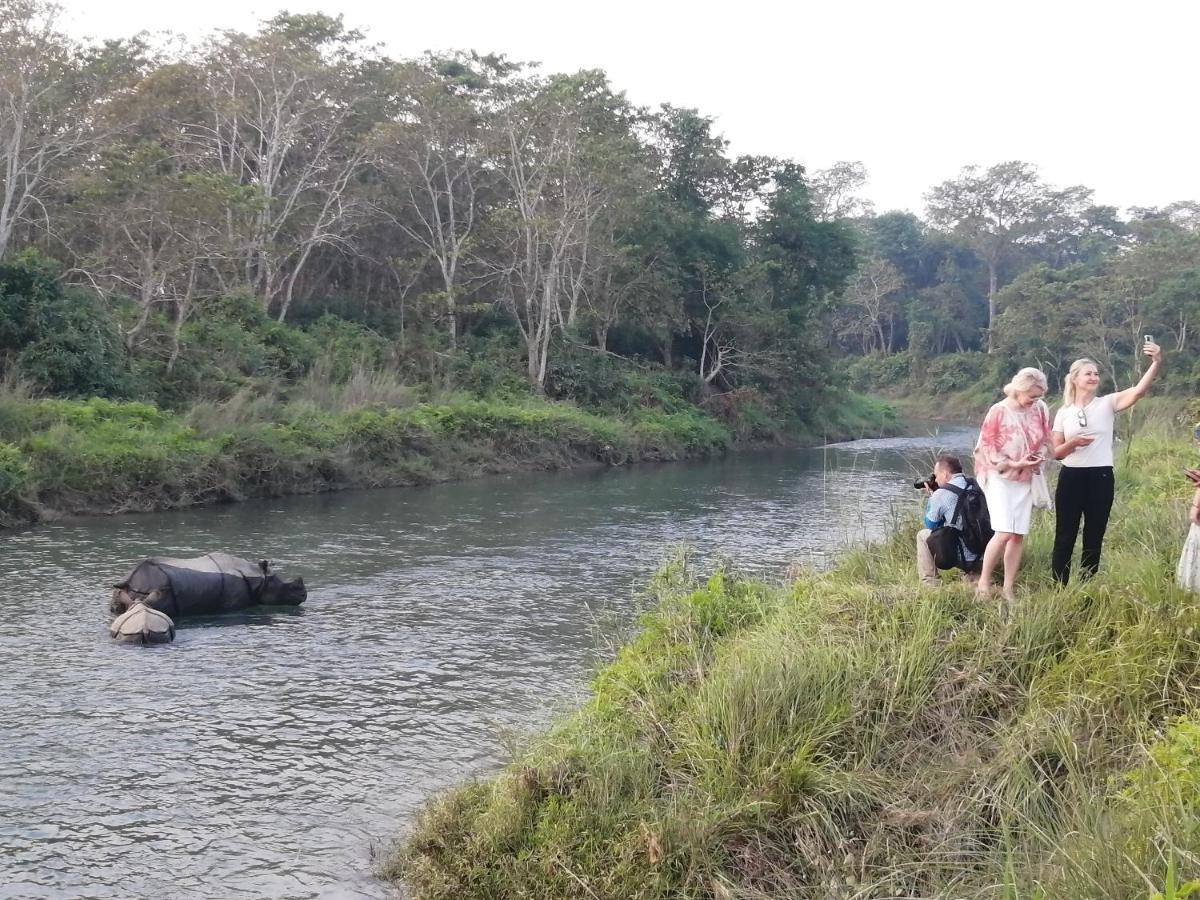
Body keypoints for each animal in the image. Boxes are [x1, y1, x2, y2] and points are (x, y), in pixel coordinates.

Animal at [112, 554, 307, 624]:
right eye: (287, 587)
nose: (304, 595)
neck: (258, 577)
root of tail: (132, 579)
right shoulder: (233, 603)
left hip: (127, 588)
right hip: (160, 588)